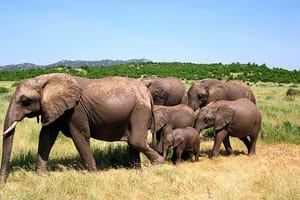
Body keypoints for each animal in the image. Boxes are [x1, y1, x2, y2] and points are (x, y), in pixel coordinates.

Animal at [0, 73, 164, 183]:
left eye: (24, 100)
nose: (4, 183)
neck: (45, 79)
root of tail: (147, 92)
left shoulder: (76, 110)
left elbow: (79, 136)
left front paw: (93, 175)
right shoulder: (56, 108)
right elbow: (46, 136)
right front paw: (42, 176)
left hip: (140, 110)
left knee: (136, 141)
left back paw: (159, 163)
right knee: (132, 142)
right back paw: (137, 171)